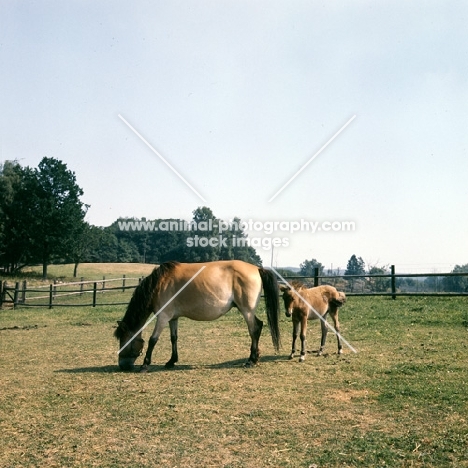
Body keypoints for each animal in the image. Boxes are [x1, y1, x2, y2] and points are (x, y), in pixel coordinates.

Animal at [114, 260, 280, 372]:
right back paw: (254, 357)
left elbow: (153, 340)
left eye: (123, 341)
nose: (122, 366)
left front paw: (145, 364)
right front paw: (171, 361)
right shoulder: (172, 318)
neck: (160, 284)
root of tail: (257, 268)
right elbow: (173, 338)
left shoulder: (162, 317)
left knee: (255, 329)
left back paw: (251, 360)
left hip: (247, 311)